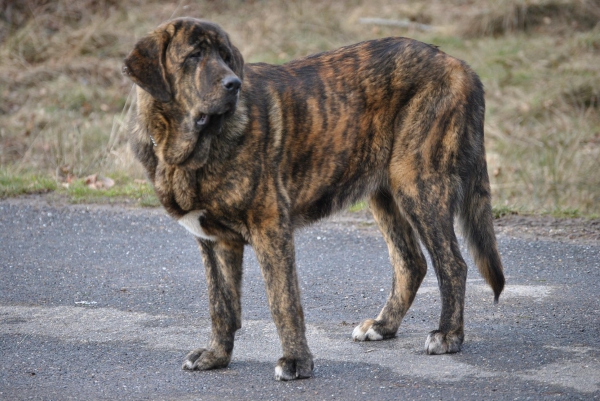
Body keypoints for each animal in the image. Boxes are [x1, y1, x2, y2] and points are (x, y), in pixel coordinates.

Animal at [123, 17, 506, 380]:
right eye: (194, 56)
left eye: (226, 57)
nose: (234, 84)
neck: (187, 148)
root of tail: (457, 64)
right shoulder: (214, 242)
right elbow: (221, 305)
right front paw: (217, 356)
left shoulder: (270, 227)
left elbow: (283, 302)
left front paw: (296, 362)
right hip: (385, 194)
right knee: (411, 263)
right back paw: (383, 326)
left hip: (418, 184)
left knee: (452, 265)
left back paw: (448, 335)